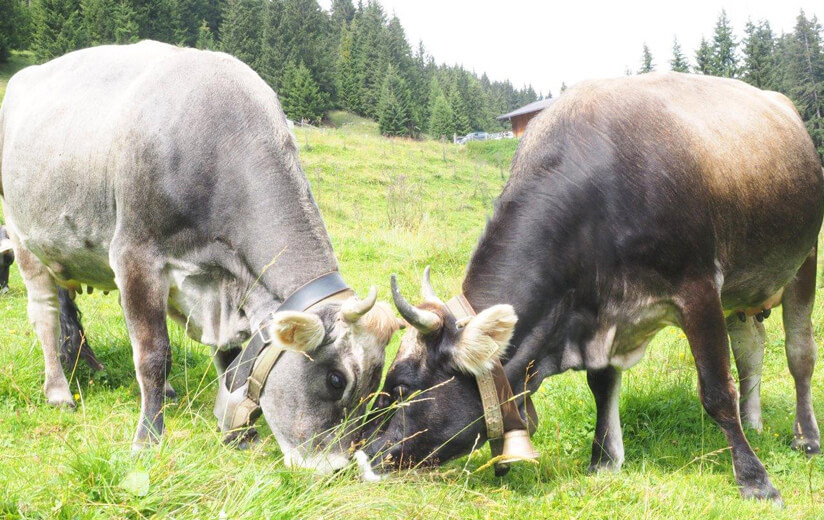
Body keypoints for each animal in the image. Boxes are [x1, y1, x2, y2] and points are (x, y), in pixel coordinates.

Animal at [0, 41, 400, 472]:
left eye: (375, 385)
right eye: (336, 379)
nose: (338, 467)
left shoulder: (223, 288)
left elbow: (231, 360)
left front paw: (241, 436)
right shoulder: (135, 256)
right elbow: (154, 354)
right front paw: (148, 439)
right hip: (22, 236)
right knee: (44, 315)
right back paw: (59, 389)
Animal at [364, 71, 820, 502]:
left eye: (402, 387)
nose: (364, 457)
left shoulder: (699, 289)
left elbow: (716, 391)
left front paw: (755, 481)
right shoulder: (600, 311)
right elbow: (602, 387)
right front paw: (604, 458)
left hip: (805, 258)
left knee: (799, 355)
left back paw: (806, 437)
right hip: (743, 292)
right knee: (752, 351)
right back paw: (754, 420)